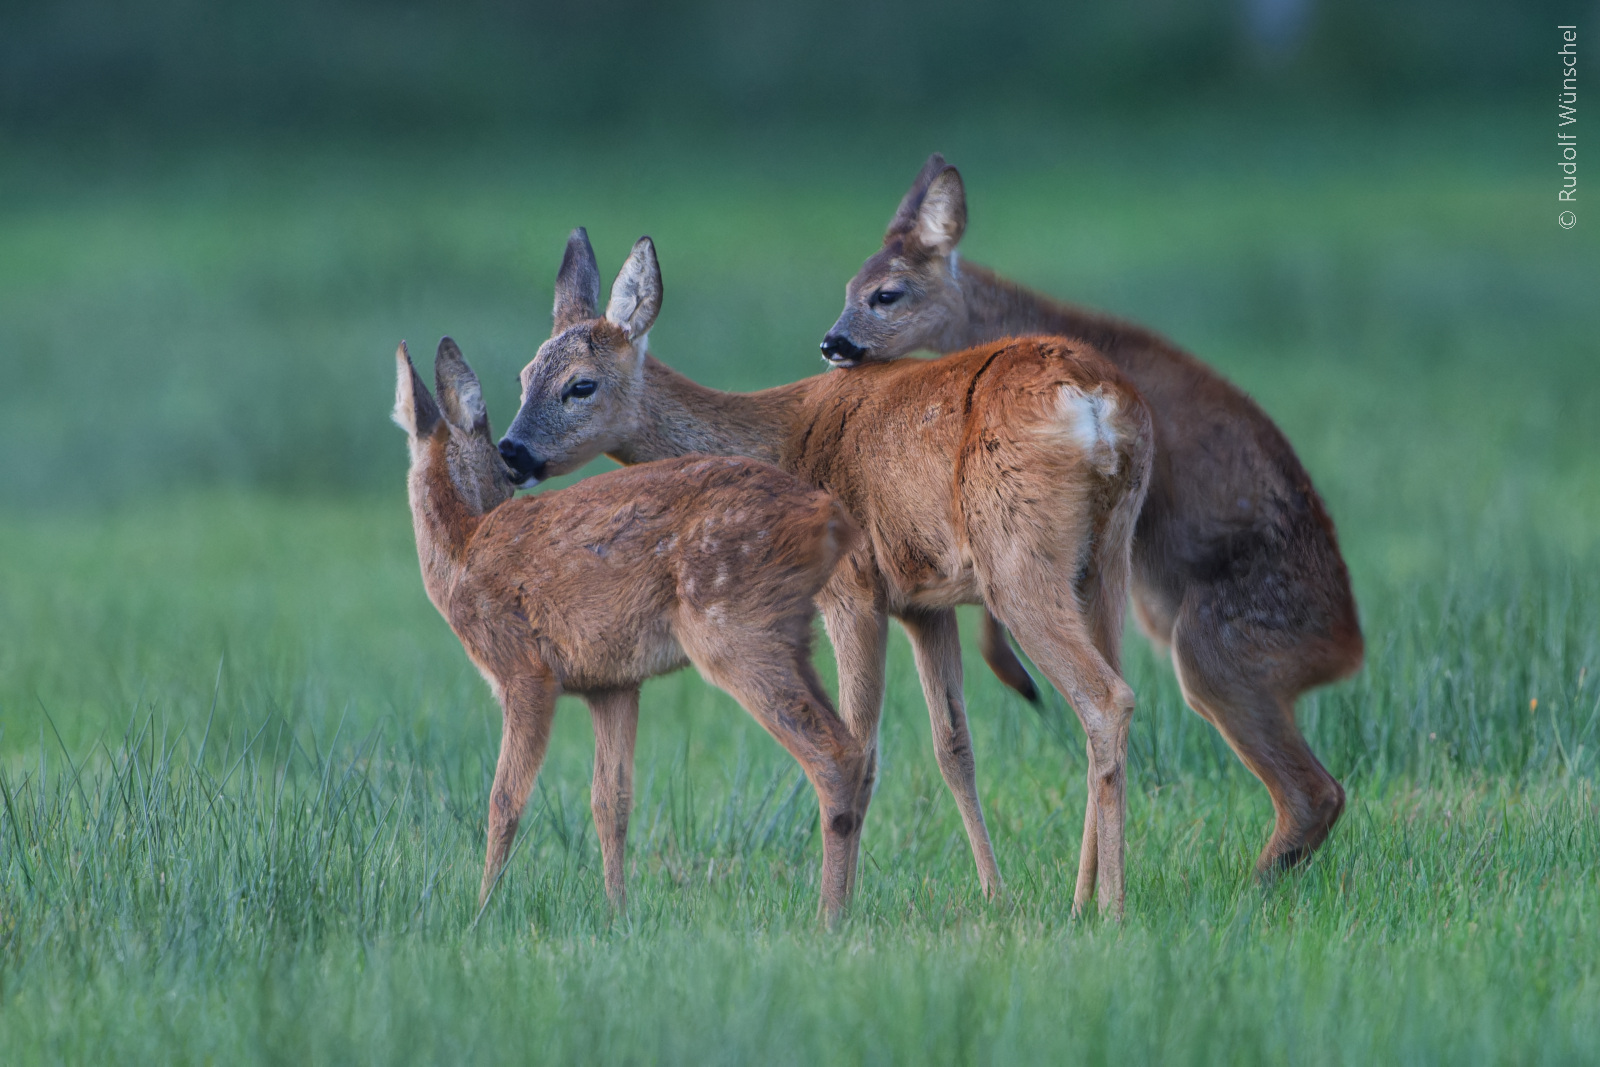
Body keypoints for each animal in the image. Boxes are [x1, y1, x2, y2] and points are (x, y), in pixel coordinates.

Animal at [392, 340, 870, 921]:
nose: (514, 469)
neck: (463, 550)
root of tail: (830, 516)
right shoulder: (612, 681)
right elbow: (610, 801)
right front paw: (618, 910)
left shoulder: (524, 669)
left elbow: (504, 799)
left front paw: (482, 908)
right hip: (789, 633)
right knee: (856, 746)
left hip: (735, 626)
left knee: (835, 753)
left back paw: (829, 917)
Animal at [496, 230, 1152, 915]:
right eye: (524, 377)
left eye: (580, 386)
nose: (509, 452)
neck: (779, 438)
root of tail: (1095, 401)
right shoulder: (924, 601)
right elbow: (953, 746)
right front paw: (994, 895)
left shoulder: (852, 588)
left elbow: (861, 745)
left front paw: (837, 907)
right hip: (1106, 558)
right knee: (1107, 696)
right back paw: (1081, 899)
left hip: (1016, 558)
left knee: (1105, 699)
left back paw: (1109, 907)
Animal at [825, 156, 1363, 876]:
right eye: (848, 288)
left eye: (888, 294)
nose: (834, 342)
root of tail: (1346, 650)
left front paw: (1017, 675)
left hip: (1217, 647)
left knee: (1314, 789)